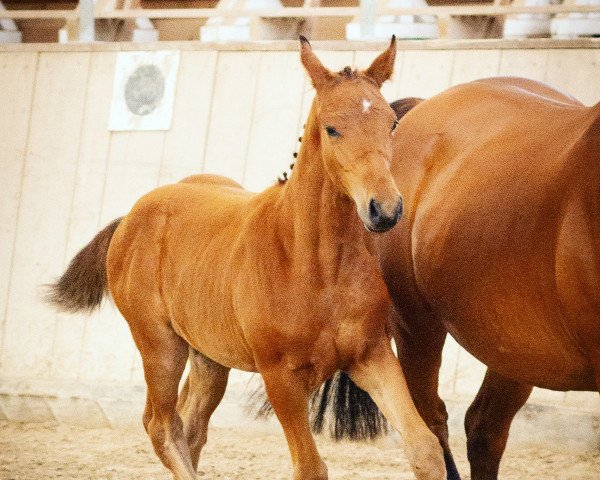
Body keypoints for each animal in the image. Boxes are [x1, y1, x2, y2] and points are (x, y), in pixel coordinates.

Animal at [45, 36, 446, 480]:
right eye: (332, 128)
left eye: (390, 124)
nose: (385, 210)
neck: (314, 264)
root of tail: (132, 215)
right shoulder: (280, 377)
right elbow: (310, 466)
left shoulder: (371, 354)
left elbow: (424, 447)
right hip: (158, 344)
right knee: (161, 424)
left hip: (208, 357)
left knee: (190, 426)